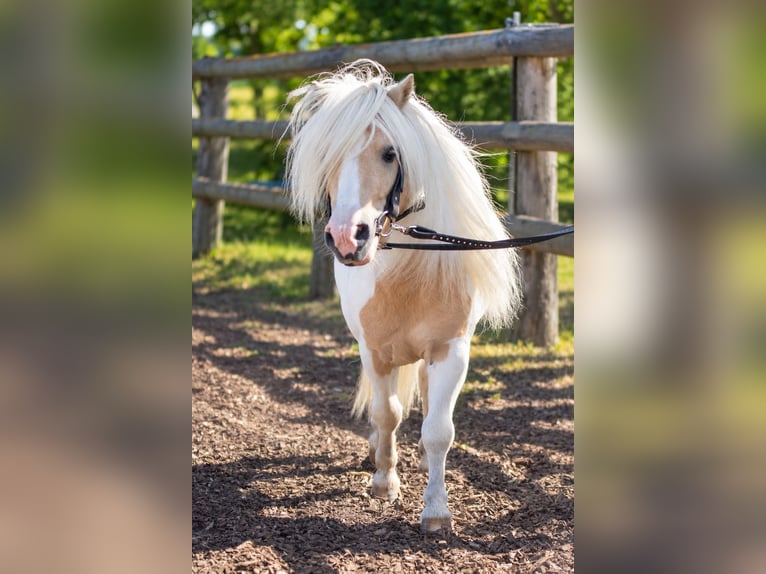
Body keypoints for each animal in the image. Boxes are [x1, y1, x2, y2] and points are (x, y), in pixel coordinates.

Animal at [286, 60, 521, 533]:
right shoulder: (374, 351)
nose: (348, 238)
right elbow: (386, 413)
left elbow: (439, 429)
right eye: (326, 156)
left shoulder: (450, 351)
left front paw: (436, 510)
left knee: (429, 404)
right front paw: (384, 482)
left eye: (390, 153)